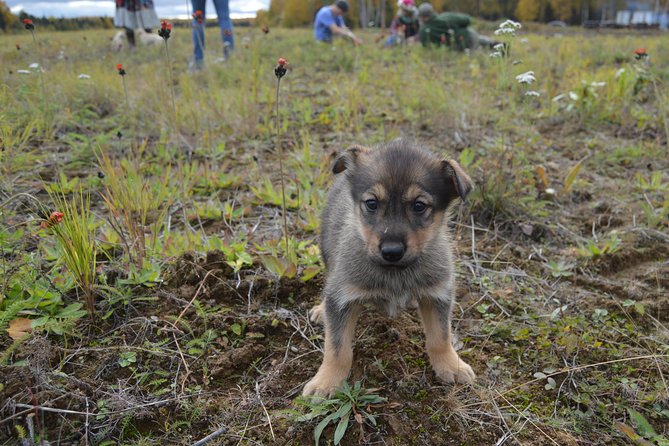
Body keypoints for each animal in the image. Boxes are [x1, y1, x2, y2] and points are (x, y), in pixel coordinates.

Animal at [304, 140, 474, 398]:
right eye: (372, 203)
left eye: (419, 205)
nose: (392, 251)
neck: (395, 272)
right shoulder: (342, 296)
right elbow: (337, 347)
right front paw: (326, 382)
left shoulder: (438, 294)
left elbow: (440, 337)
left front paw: (451, 365)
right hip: (327, 252)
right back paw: (321, 310)